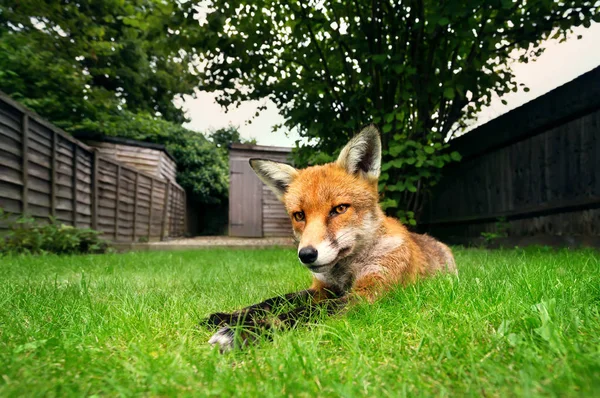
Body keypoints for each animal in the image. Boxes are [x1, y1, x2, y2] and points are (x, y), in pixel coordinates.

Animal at [205, 125, 454, 352]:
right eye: (299, 215)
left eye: (339, 209)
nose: (306, 255)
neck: (345, 273)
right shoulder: (321, 288)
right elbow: (273, 301)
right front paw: (230, 317)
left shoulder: (368, 293)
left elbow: (307, 311)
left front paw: (244, 332)